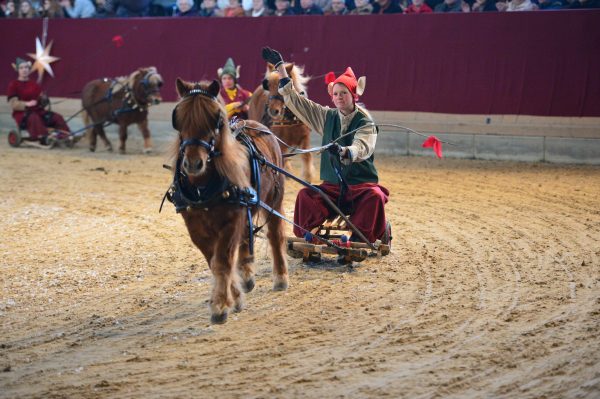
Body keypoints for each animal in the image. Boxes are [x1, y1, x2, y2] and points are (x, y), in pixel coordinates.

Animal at [170, 78, 290, 324]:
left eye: (215, 119)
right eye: (178, 118)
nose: (193, 163)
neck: (203, 189)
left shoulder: (232, 218)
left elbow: (223, 261)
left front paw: (220, 305)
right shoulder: (194, 226)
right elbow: (213, 261)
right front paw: (234, 295)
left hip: (274, 199)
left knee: (275, 234)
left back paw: (281, 277)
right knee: (246, 237)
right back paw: (247, 275)